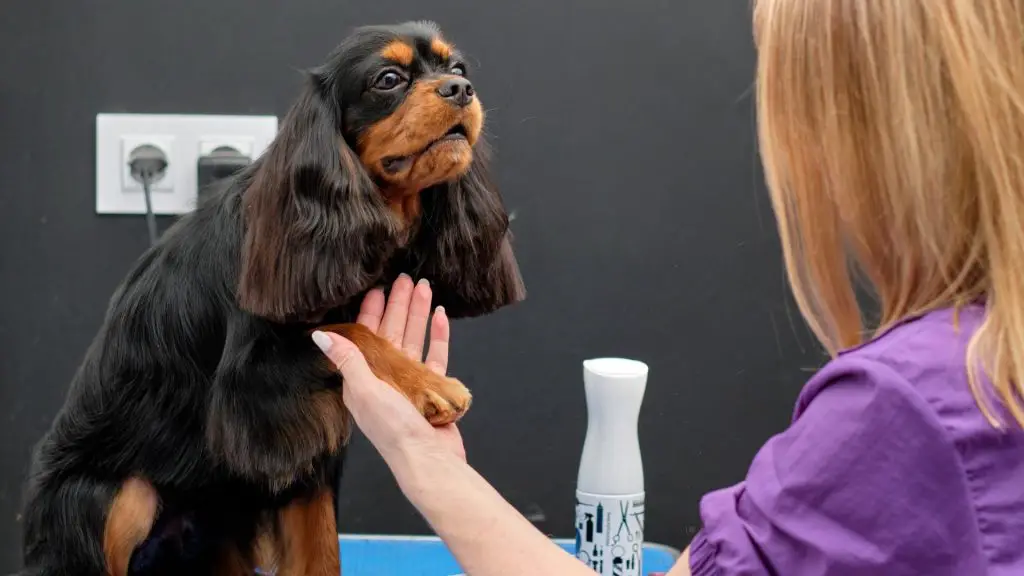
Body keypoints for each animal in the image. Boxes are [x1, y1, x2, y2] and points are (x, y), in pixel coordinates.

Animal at [18, 20, 524, 569]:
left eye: (458, 68)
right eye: (388, 79)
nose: (461, 90)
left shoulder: (309, 451)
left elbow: (321, 554)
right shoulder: (252, 387)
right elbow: (346, 331)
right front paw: (427, 384)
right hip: (122, 496)